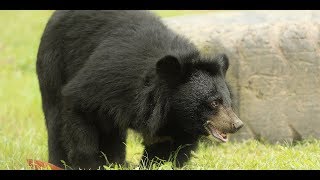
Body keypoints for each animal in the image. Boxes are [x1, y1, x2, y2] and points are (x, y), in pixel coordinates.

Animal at [37, 10, 242, 169]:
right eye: (213, 102)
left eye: (228, 102)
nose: (237, 124)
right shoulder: (107, 79)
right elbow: (79, 105)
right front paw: (88, 163)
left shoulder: (173, 123)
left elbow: (167, 147)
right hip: (54, 63)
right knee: (55, 116)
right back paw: (57, 162)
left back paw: (117, 162)